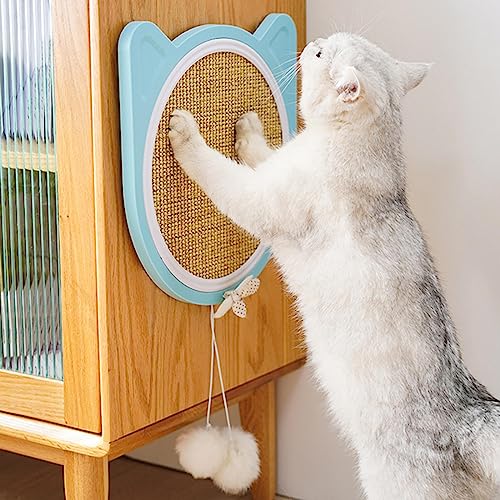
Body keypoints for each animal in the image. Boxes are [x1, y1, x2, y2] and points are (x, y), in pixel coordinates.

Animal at [169, 33, 500, 498]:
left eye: (323, 55)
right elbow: (264, 153)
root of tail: (467, 410)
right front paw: (251, 128)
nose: (315, 42)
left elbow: (220, 172)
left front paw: (187, 134)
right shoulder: (278, 168)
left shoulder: (260, 200)